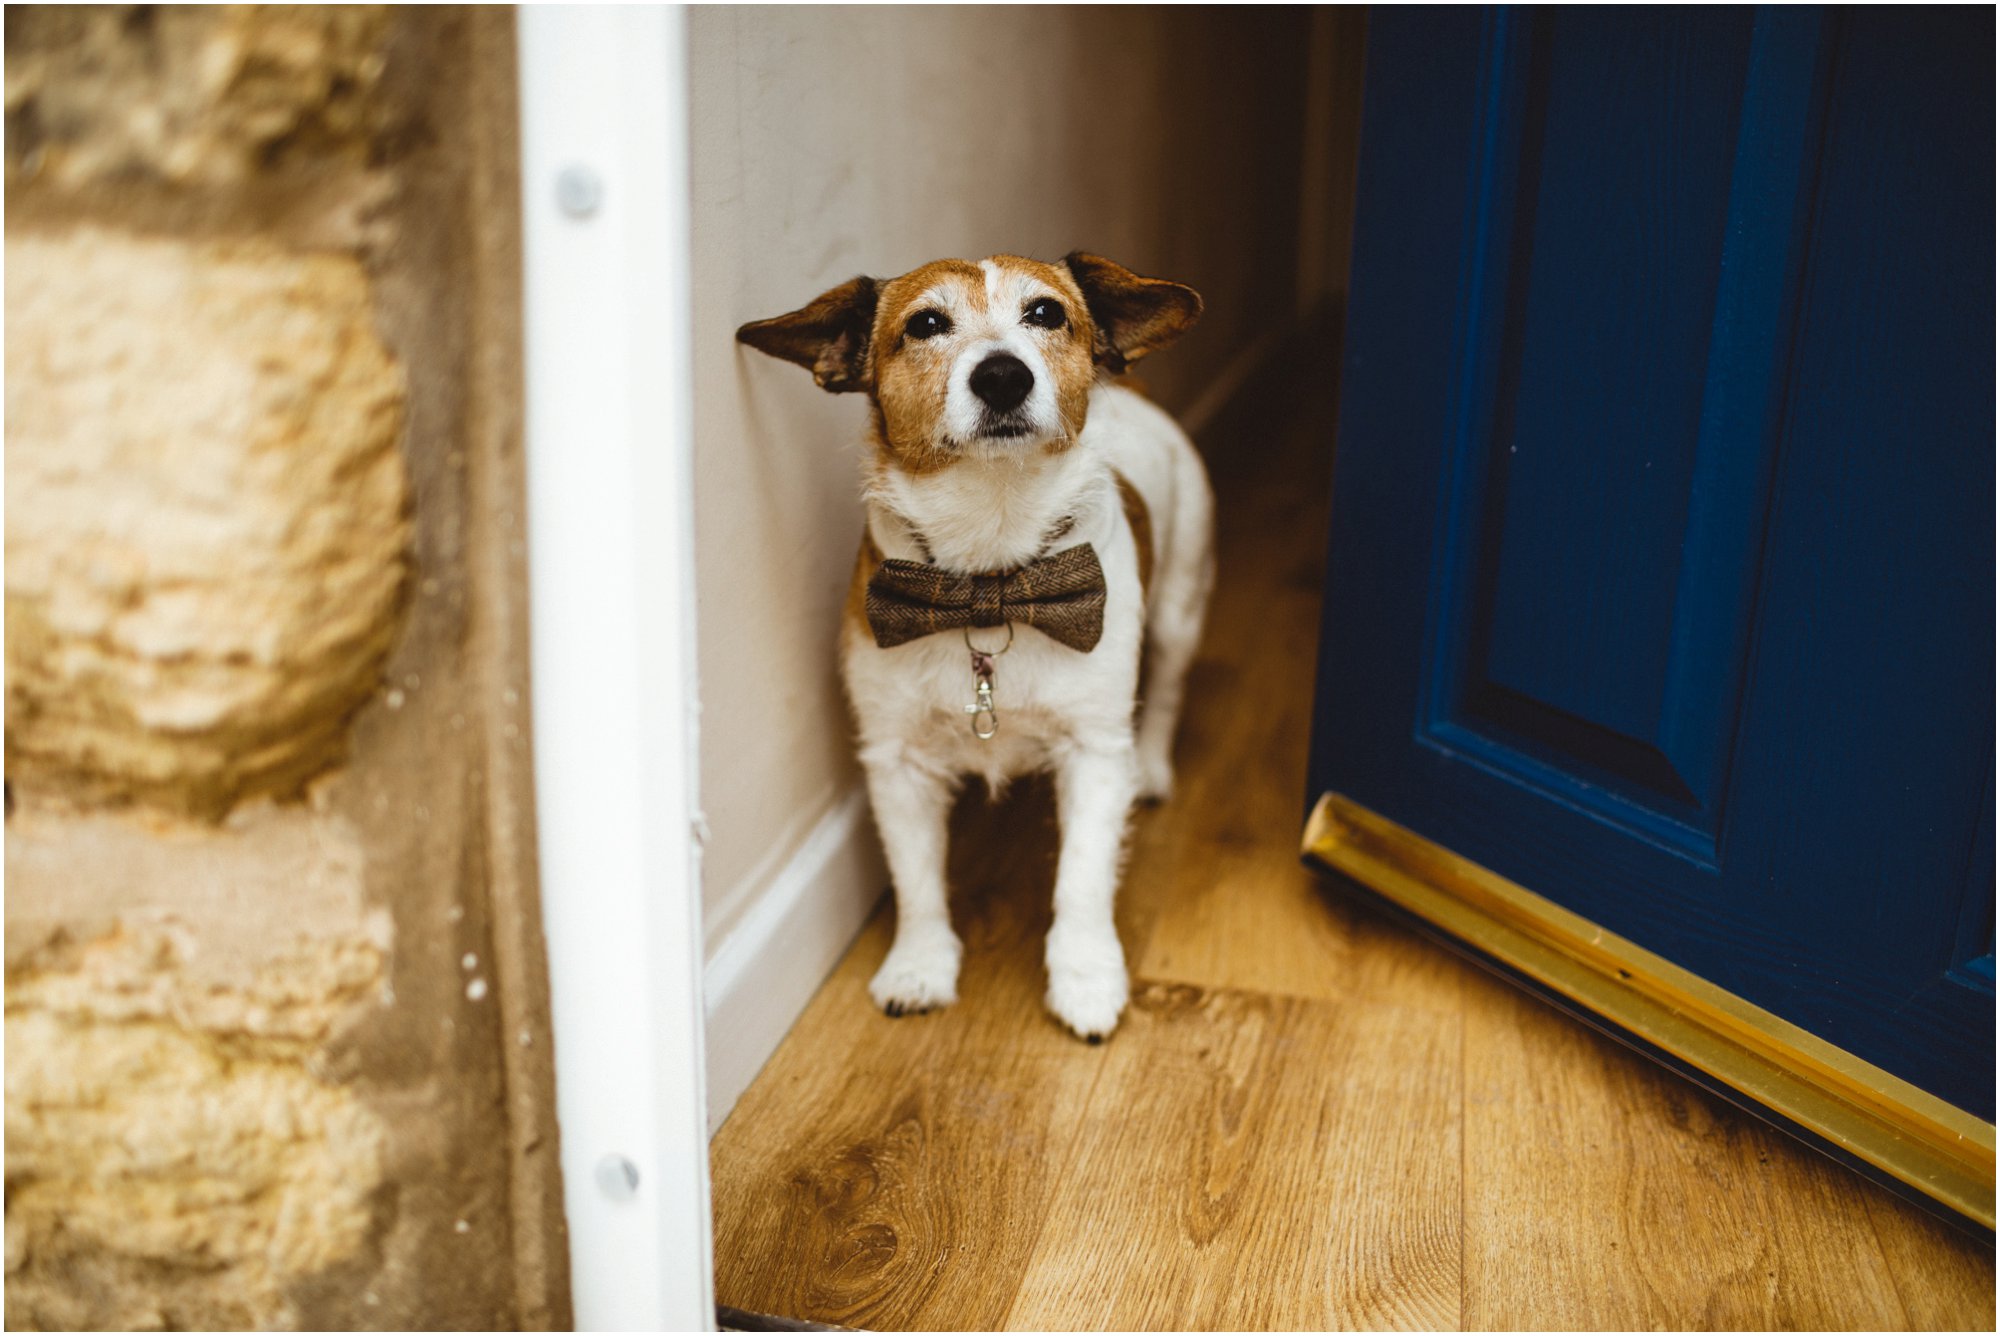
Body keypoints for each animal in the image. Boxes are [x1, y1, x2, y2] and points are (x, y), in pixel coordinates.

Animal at [732, 253, 1200, 1040]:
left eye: (1046, 314)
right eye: (925, 323)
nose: (1004, 376)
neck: (990, 578)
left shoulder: (1094, 751)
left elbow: (1082, 881)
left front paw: (1085, 978)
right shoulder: (898, 761)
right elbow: (917, 882)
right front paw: (919, 967)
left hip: (1180, 608)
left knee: (1166, 687)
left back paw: (1157, 767)